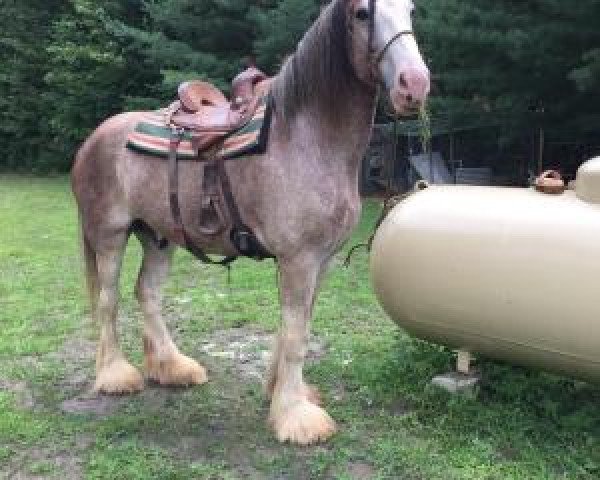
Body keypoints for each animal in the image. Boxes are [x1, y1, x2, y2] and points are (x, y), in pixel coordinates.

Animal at [71, 0, 426, 446]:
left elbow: (297, 326)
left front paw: (281, 393)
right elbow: (296, 335)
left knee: (147, 293)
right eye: (363, 13)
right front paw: (296, 418)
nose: (414, 85)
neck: (304, 139)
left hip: (158, 237)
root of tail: (94, 138)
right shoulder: (298, 259)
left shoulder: (320, 260)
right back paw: (116, 376)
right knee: (109, 299)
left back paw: (173, 368)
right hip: (110, 237)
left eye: (411, 10)